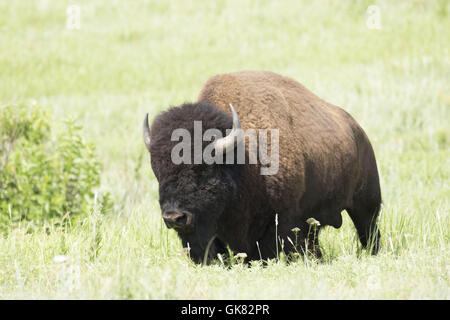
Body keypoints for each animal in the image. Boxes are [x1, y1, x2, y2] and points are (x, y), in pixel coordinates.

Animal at [142, 70, 382, 262]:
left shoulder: (280, 224)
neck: (243, 164)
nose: (174, 218)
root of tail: (358, 130)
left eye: (203, 171)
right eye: (158, 173)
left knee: (369, 231)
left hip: (366, 204)